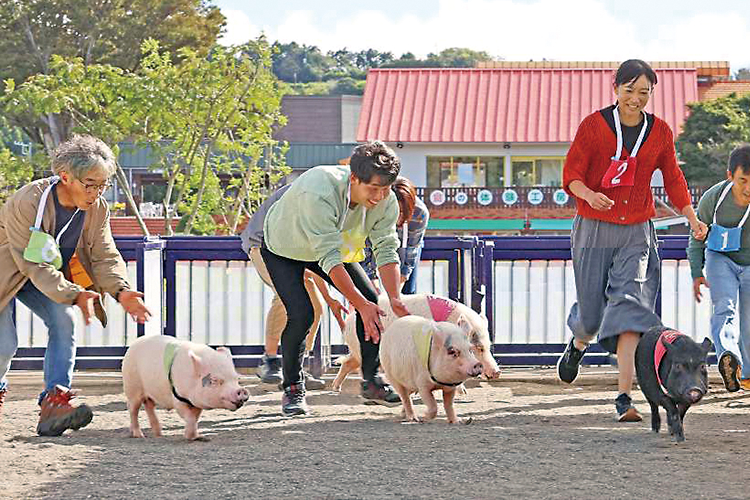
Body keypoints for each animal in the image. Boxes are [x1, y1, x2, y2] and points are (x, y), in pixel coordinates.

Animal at [122, 336, 250, 442]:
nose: (242, 391)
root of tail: (133, 345)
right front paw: (193, 437)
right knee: (132, 409)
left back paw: (159, 434)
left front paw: (198, 437)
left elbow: (195, 417)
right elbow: (190, 417)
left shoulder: (196, 403)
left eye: (236, 378)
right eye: (214, 380)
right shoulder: (178, 398)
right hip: (132, 387)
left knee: (149, 406)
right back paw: (139, 435)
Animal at [334, 292, 500, 390]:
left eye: (488, 346)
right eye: (478, 348)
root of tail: (348, 320)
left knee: (348, 362)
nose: (497, 372)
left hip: (358, 351)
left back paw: (336, 388)